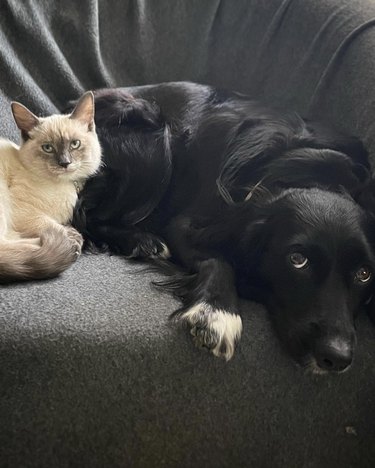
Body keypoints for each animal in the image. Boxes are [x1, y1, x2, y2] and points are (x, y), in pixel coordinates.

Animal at [0, 91, 101, 282]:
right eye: (48, 148)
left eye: (74, 144)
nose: (65, 163)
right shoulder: (23, 212)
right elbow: (49, 223)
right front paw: (70, 236)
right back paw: (68, 244)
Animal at [71, 81, 375, 372]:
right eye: (297, 260)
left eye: (364, 274)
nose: (336, 357)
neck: (312, 172)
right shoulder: (184, 224)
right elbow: (218, 258)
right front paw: (217, 312)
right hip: (154, 140)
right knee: (86, 217)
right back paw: (141, 241)